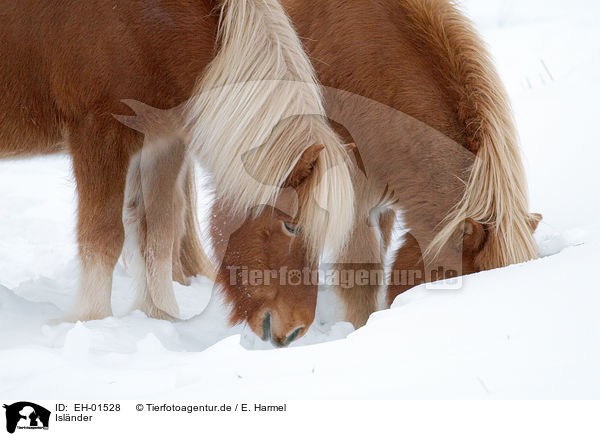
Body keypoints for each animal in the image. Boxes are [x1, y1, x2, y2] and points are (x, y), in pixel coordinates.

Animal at [0, 0, 354, 330]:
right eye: (291, 226)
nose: (295, 328)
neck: (145, 22)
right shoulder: (99, 135)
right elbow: (102, 234)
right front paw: (92, 319)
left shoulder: (162, 141)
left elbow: (158, 233)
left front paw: (160, 316)